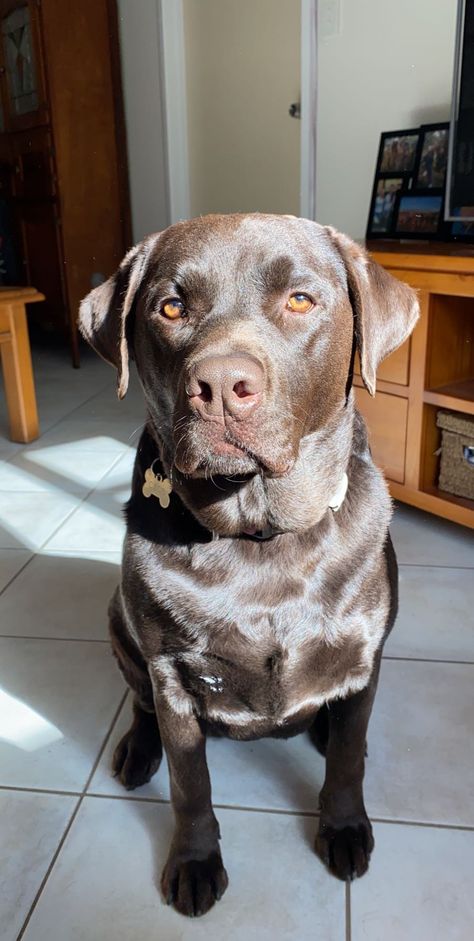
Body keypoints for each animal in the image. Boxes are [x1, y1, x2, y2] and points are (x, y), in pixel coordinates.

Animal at [80, 215, 418, 916]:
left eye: (300, 300)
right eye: (170, 307)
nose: (220, 389)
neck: (262, 539)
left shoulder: (365, 655)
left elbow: (348, 761)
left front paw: (344, 826)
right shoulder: (174, 678)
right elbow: (191, 785)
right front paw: (194, 862)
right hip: (119, 626)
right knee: (140, 706)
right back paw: (136, 751)